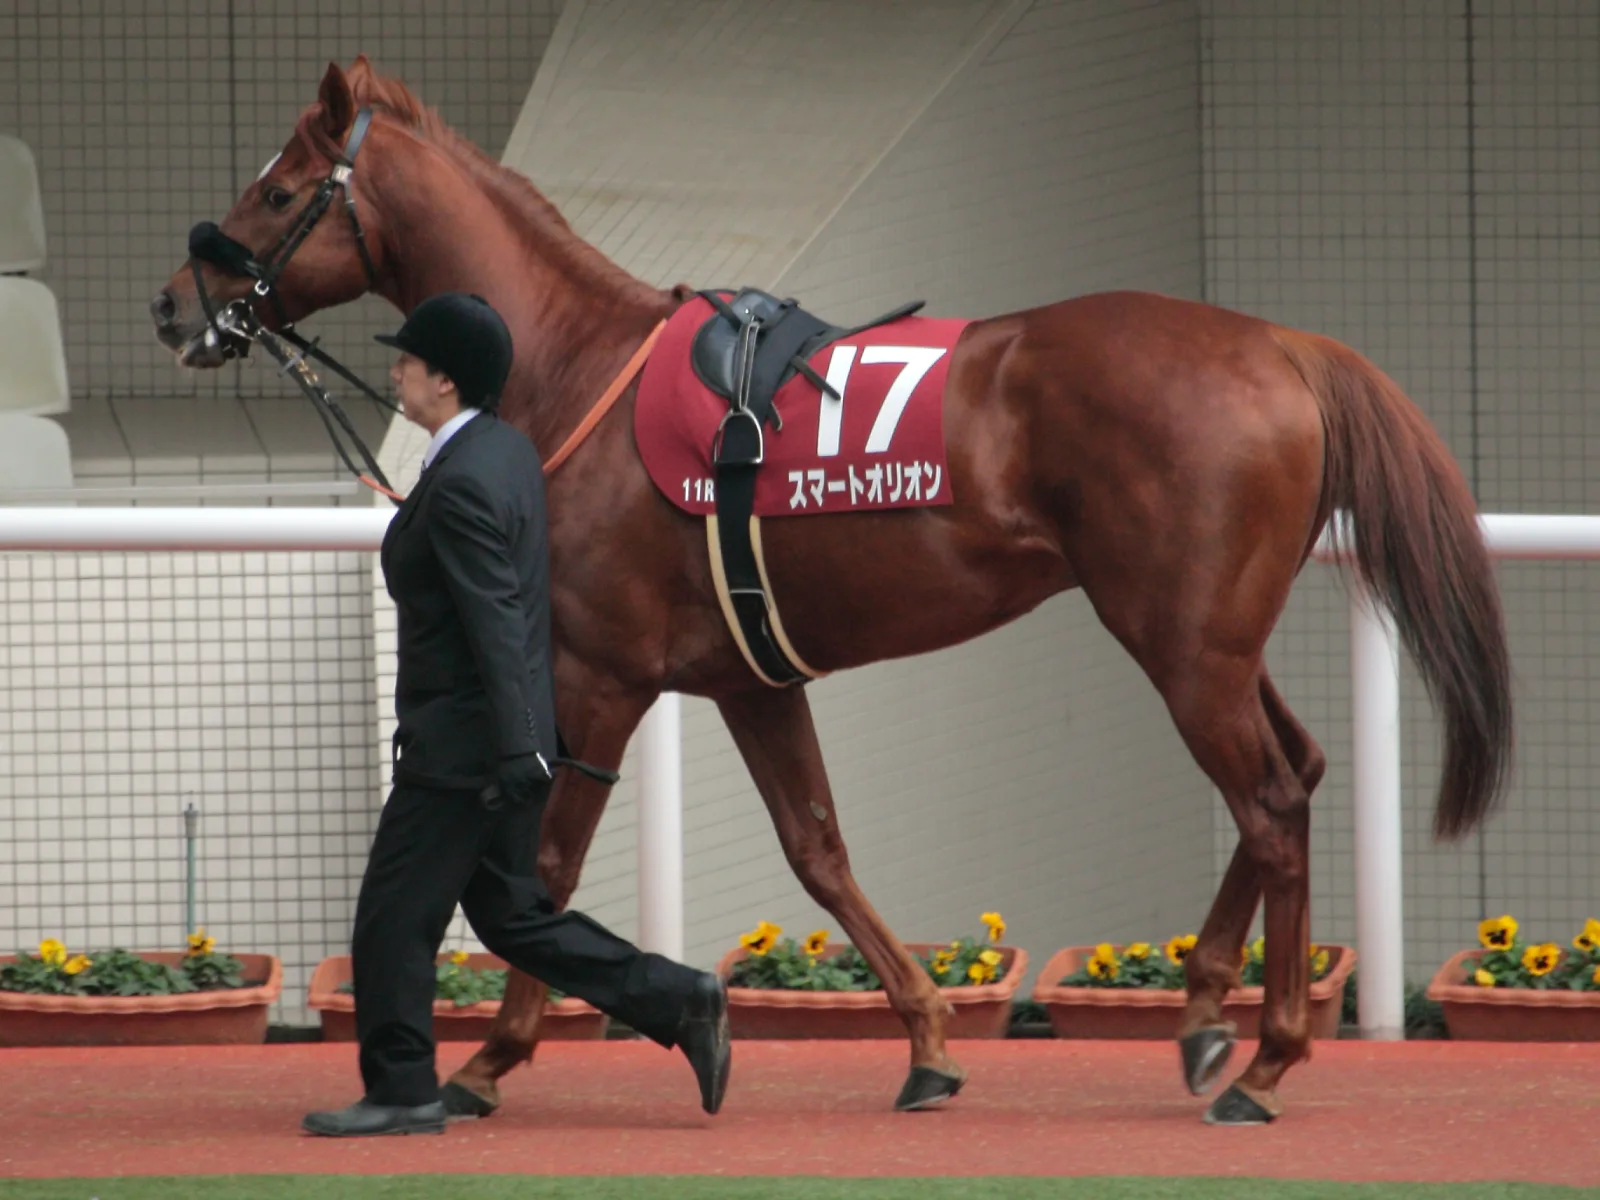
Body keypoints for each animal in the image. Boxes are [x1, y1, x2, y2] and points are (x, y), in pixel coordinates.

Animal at [150, 56, 1511, 1126]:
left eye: (278, 190)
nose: (174, 303)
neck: (575, 368)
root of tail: (1280, 344)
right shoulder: (749, 678)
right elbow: (817, 850)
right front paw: (925, 1043)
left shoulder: (601, 677)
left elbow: (551, 861)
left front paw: (490, 1060)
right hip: (1214, 637)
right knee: (1295, 776)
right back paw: (1201, 1014)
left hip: (1178, 641)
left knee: (1270, 799)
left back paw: (1264, 1059)